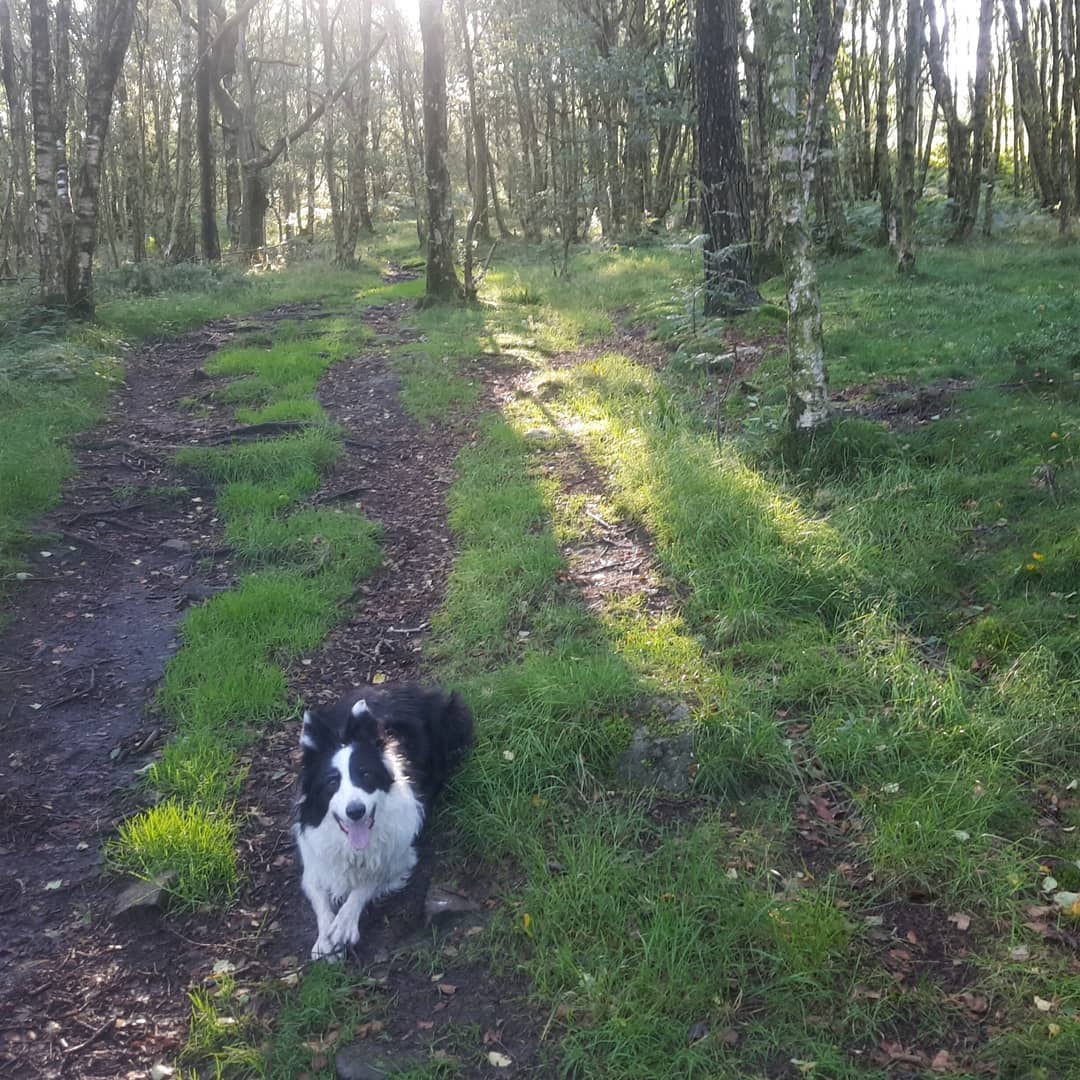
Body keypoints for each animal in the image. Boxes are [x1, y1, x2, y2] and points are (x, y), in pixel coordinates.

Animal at [294, 683, 473, 961]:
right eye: (332, 782)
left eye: (366, 775)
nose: (355, 811)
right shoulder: (314, 859)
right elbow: (319, 896)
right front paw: (324, 938)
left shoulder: (402, 855)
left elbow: (368, 881)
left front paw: (344, 923)